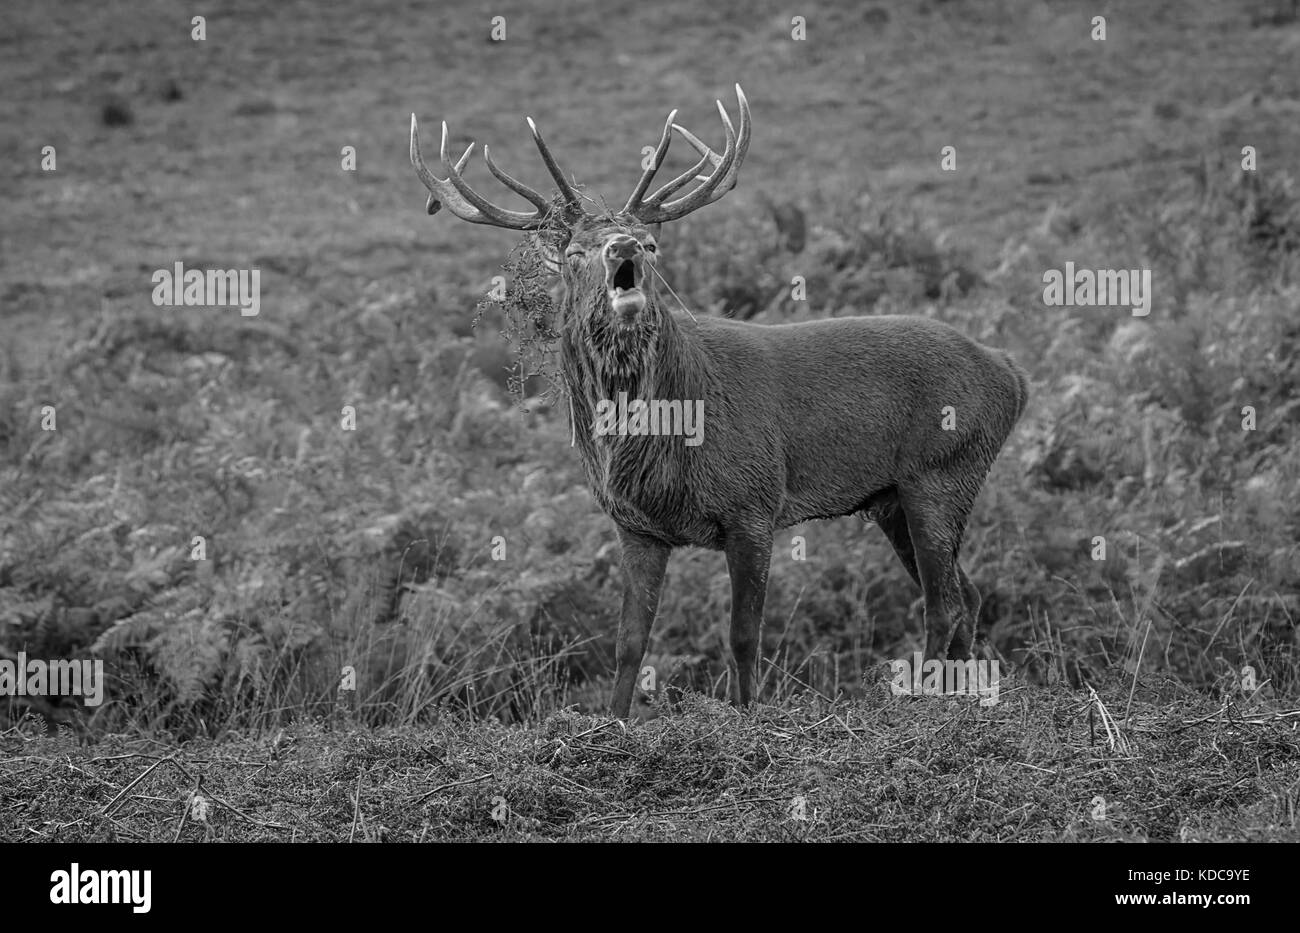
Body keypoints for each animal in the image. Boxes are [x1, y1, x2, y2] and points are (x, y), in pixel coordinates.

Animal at [410, 86, 1029, 718]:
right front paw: (614, 721)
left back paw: (925, 700)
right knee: (966, 594)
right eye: (576, 251)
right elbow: (629, 642)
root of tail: (1012, 373)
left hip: (941, 470)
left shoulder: (753, 504)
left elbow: (743, 635)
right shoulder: (636, 528)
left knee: (944, 601)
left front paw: (745, 713)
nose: (624, 247)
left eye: (651, 243)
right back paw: (955, 696)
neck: (663, 438)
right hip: (892, 499)